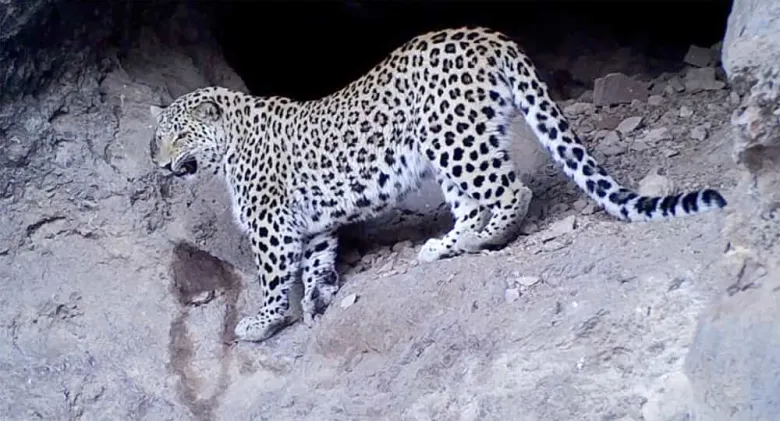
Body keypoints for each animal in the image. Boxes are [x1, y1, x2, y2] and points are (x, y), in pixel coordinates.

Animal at [149, 26, 727, 343]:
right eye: (156, 139)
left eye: (178, 136)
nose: (161, 164)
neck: (228, 144)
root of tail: (488, 35)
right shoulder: (310, 225)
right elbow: (317, 261)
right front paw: (318, 299)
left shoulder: (271, 227)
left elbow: (274, 280)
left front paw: (262, 322)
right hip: (459, 145)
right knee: (474, 201)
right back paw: (446, 244)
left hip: (451, 137)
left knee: (511, 190)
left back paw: (481, 239)